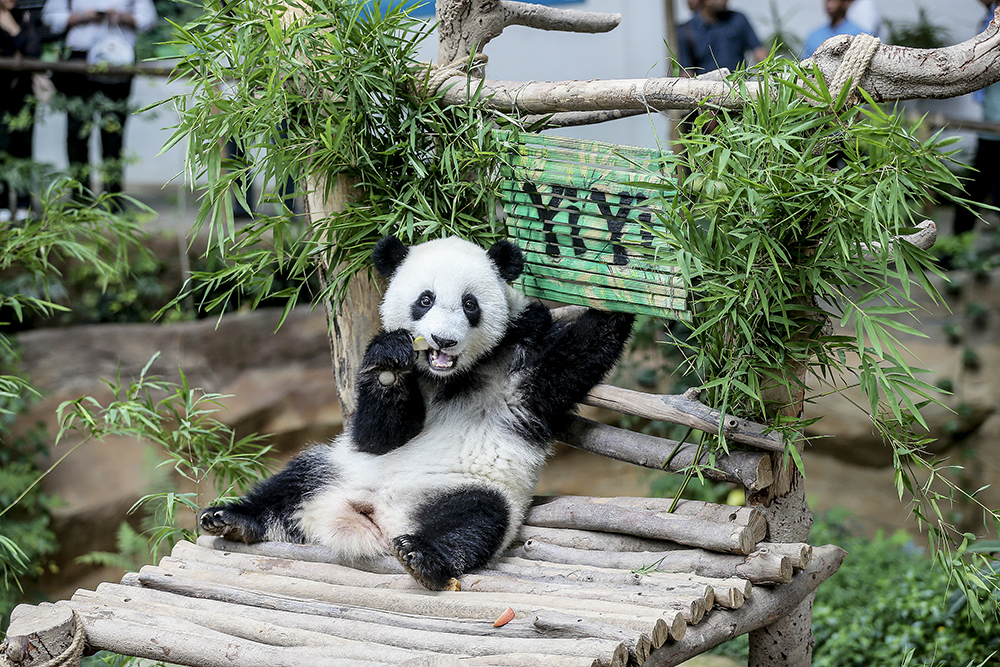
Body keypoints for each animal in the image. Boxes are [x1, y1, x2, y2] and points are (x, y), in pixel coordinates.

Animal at [200, 236, 636, 588]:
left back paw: (422, 557)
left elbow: (579, 351)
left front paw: (624, 284)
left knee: (476, 519)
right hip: (339, 468)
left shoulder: (524, 371)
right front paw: (391, 362)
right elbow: (377, 433)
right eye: (425, 299)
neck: (451, 377)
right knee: (292, 484)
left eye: (470, 304)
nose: (443, 340)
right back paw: (230, 519)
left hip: (467, 488)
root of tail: (374, 519)